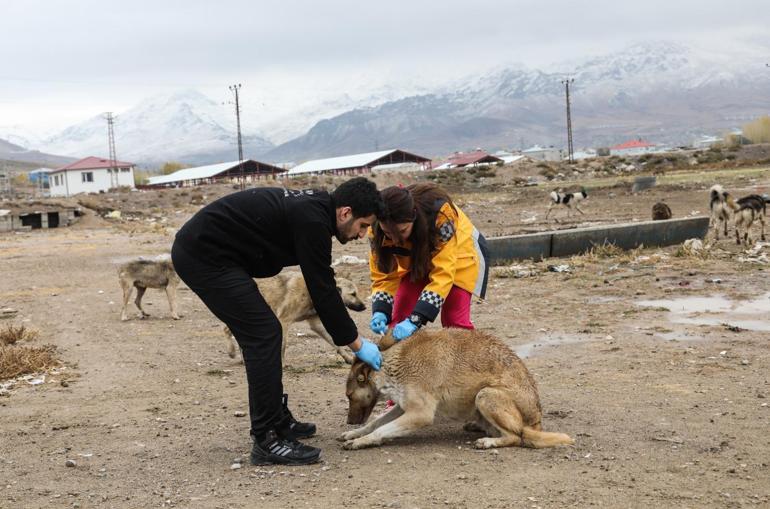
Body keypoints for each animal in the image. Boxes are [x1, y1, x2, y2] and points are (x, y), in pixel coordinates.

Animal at [224, 272, 364, 364]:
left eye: (356, 293)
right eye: (353, 294)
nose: (365, 307)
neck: (310, 293)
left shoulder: (316, 325)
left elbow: (335, 343)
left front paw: (348, 357)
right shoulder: (283, 321)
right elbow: (283, 345)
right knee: (226, 330)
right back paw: (231, 352)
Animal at [340, 330, 572, 448]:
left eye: (349, 396)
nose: (349, 421)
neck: (390, 366)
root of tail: (537, 423)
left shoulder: (420, 414)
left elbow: (380, 429)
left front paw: (361, 441)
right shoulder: (402, 407)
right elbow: (375, 423)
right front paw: (355, 433)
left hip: (485, 395)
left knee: (517, 436)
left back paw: (489, 441)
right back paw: (479, 427)